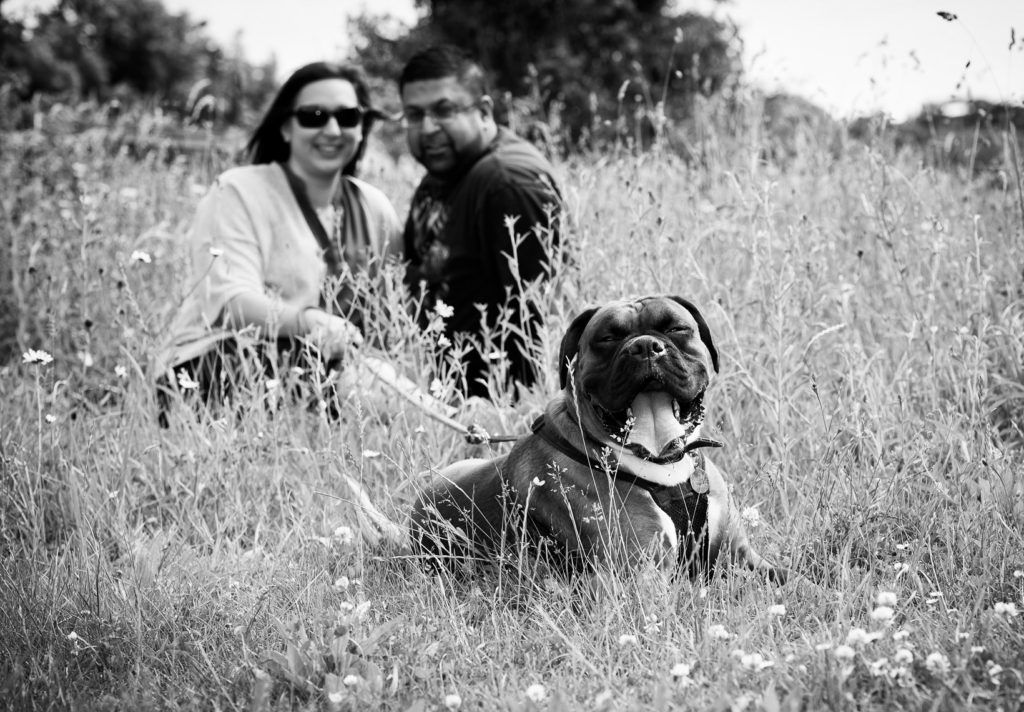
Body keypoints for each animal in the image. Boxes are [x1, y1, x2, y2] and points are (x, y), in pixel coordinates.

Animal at [403, 297, 786, 581]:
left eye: (677, 328)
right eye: (606, 338)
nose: (646, 346)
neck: (667, 474)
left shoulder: (743, 555)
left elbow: (792, 577)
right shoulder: (642, 579)